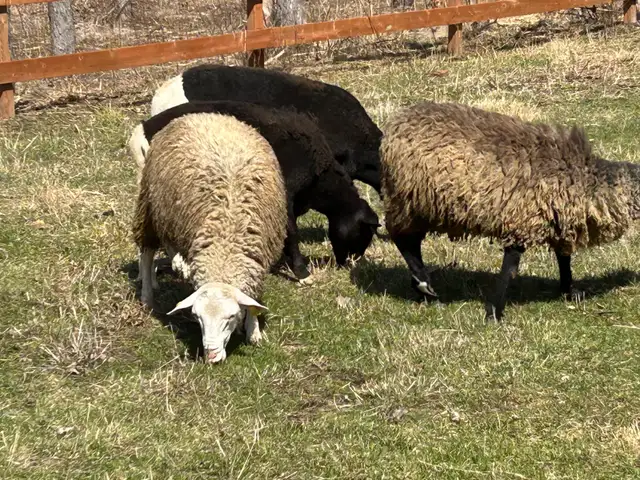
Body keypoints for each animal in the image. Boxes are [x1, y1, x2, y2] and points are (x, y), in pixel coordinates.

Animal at [130, 100, 380, 281]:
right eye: (364, 233)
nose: (349, 263)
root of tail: (143, 131)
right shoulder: (285, 196)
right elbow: (291, 233)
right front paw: (302, 272)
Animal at [133, 112, 287, 362]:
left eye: (230, 317)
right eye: (198, 318)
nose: (211, 356)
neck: (225, 245)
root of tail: (200, 115)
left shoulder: (257, 257)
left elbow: (253, 300)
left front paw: (253, 331)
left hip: (171, 216)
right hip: (149, 206)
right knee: (147, 252)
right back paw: (147, 296)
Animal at [380, 101, 639, 320]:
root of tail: (395, 123)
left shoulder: (558, 221)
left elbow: (563, 257)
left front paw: (568, 292)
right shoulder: (522, 221)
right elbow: (510, 268)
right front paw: (494, 312)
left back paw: (422, 289)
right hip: (409, 199)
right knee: (403, 239)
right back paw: (425, 286)